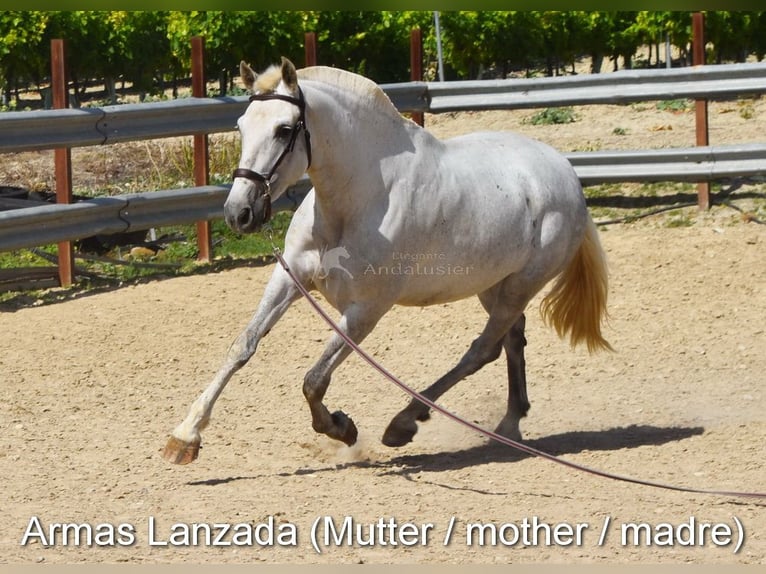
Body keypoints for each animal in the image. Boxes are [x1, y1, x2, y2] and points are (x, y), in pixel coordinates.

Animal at [162, 56, 612, 466]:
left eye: (284, 129)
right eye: (240, 126)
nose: (239, 213)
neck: (355, 203)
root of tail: (567, 175)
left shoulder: (367, 310)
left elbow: (314, 380)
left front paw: (342, 428)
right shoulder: (289, 279)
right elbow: (243, 346)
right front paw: (185, 437)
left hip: (521, 284)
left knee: (483, 349)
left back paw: (404, 423)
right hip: (493, 284)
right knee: (512, 340)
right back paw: (509, 424)